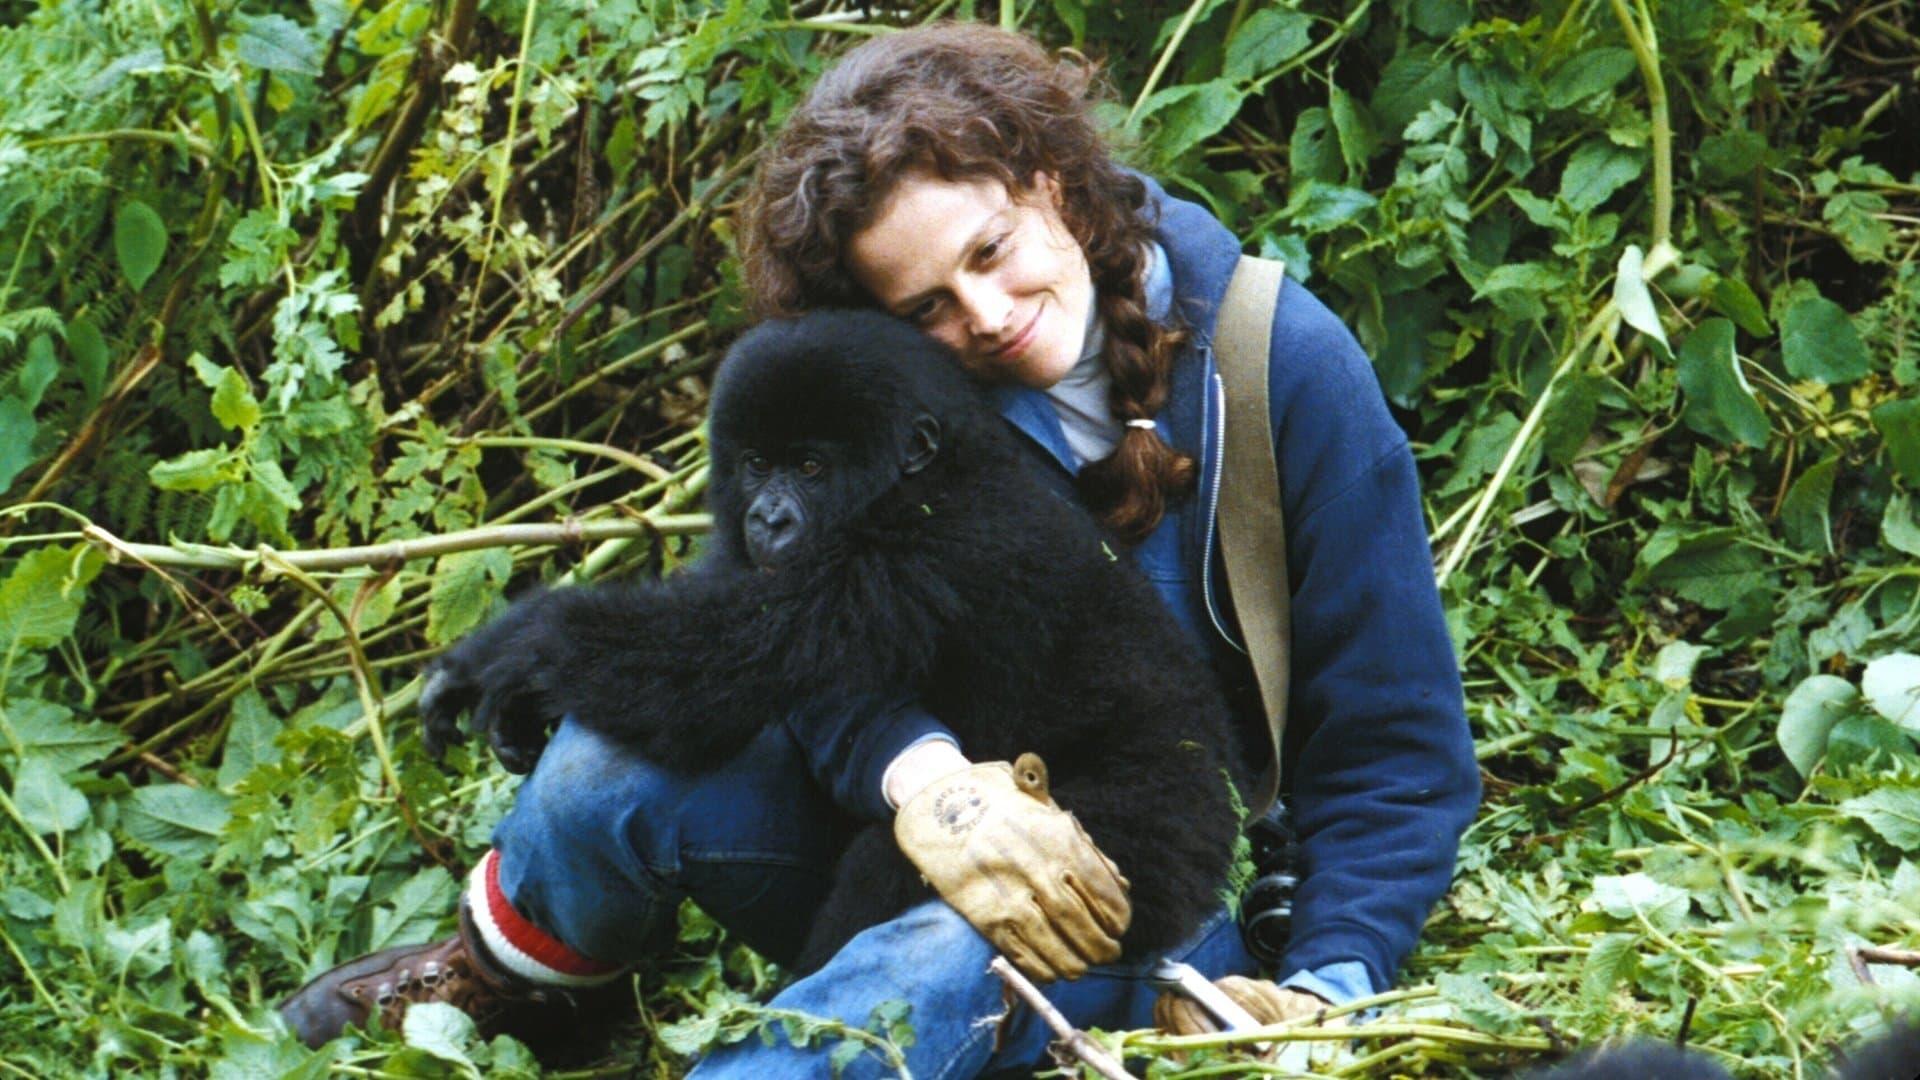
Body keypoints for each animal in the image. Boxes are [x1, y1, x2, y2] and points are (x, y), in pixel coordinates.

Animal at [424, 309, 1244, 968]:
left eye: (811, 466)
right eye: (758, 464)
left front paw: (517, 647)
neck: (939, 468)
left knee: (896, 863)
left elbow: (719, 661)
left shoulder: (929, 546)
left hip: (1148, 847)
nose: (769, 519)